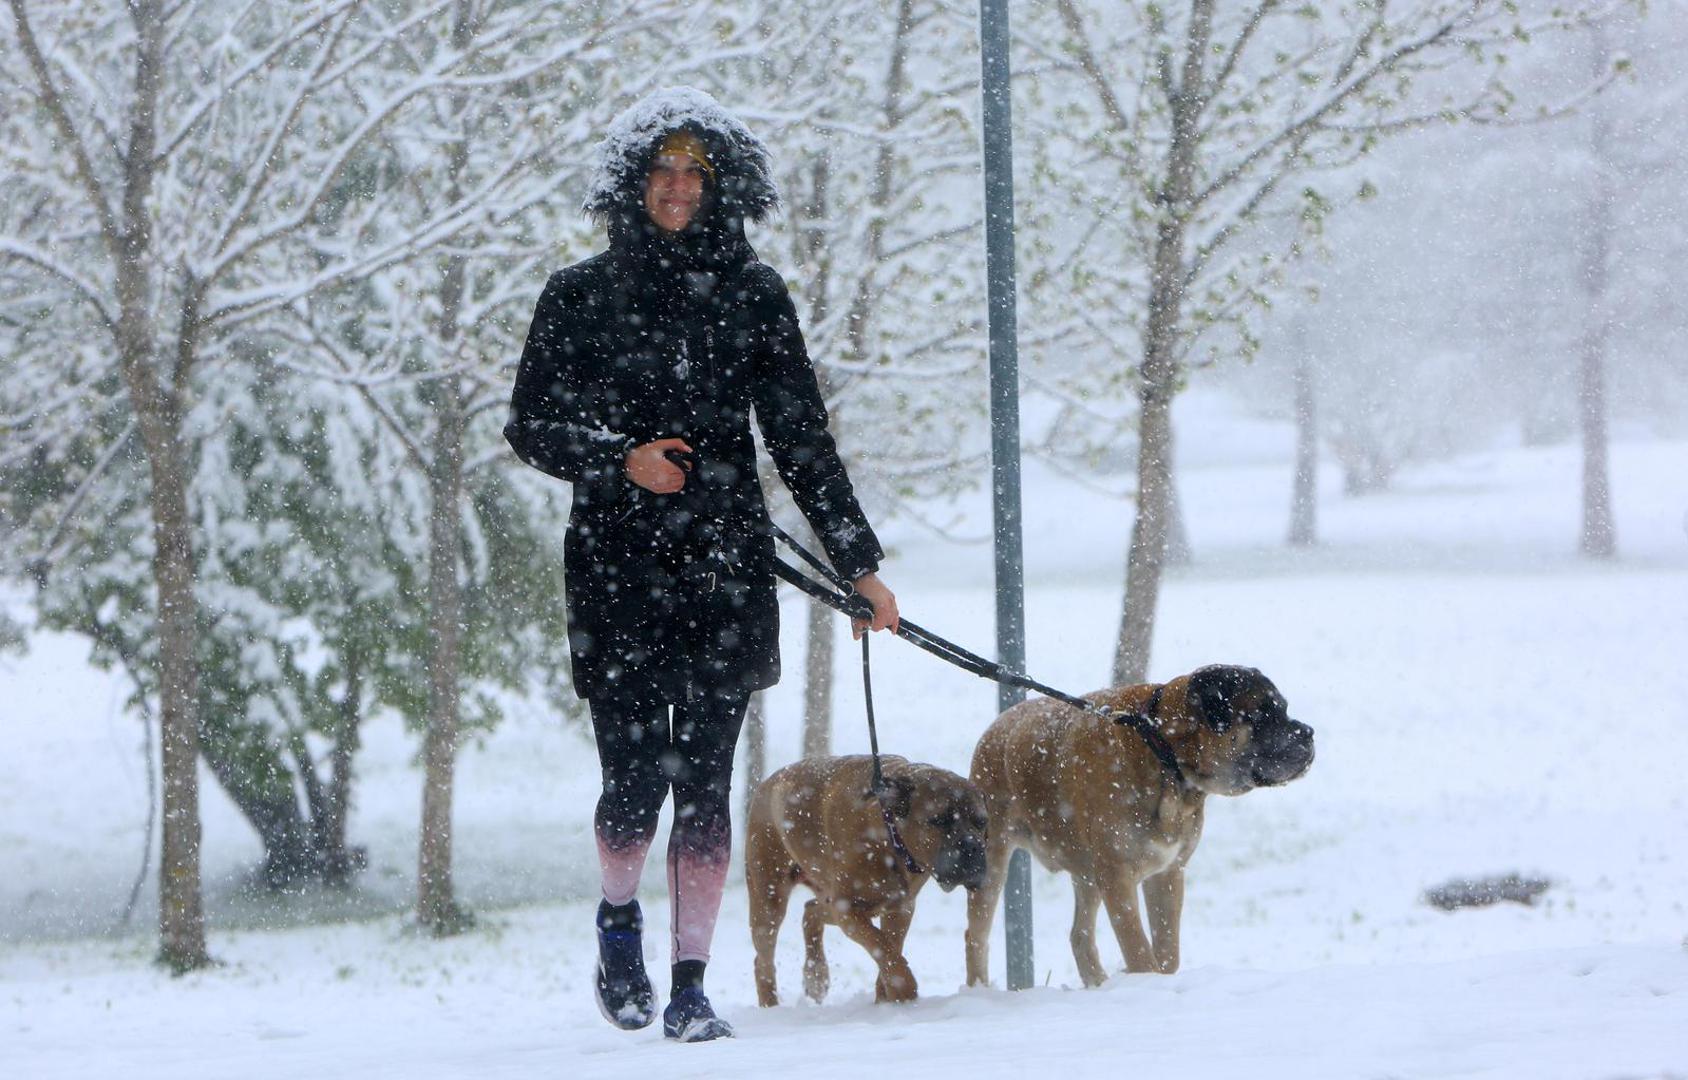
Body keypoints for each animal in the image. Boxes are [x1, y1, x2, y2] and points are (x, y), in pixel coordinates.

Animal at [742, 756, 985, 1005]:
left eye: (981, 822)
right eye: (939, 820)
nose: (972, 847)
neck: (889, 836)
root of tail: (767, 782)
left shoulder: (900, 908)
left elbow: (891, 947)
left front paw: (886, 999)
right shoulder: (848, 909)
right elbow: (880, 945)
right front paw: (904, 987)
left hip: (831, 899)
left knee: (810, 910)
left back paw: (816, 974)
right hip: (769, 896)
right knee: (763, 960)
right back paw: (771, 1003)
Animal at [965, 661, 1316, 985]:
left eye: (1283, 708)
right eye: (1261, 715)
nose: (1308, 732)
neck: (1162, 749)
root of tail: (996, 728)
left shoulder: (1169, 871)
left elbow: (1168, 950)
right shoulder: (1116, 875)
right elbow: (1137, 946)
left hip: (1087, 871)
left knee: (1080, 935)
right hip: (992, 859)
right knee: (976, 935)